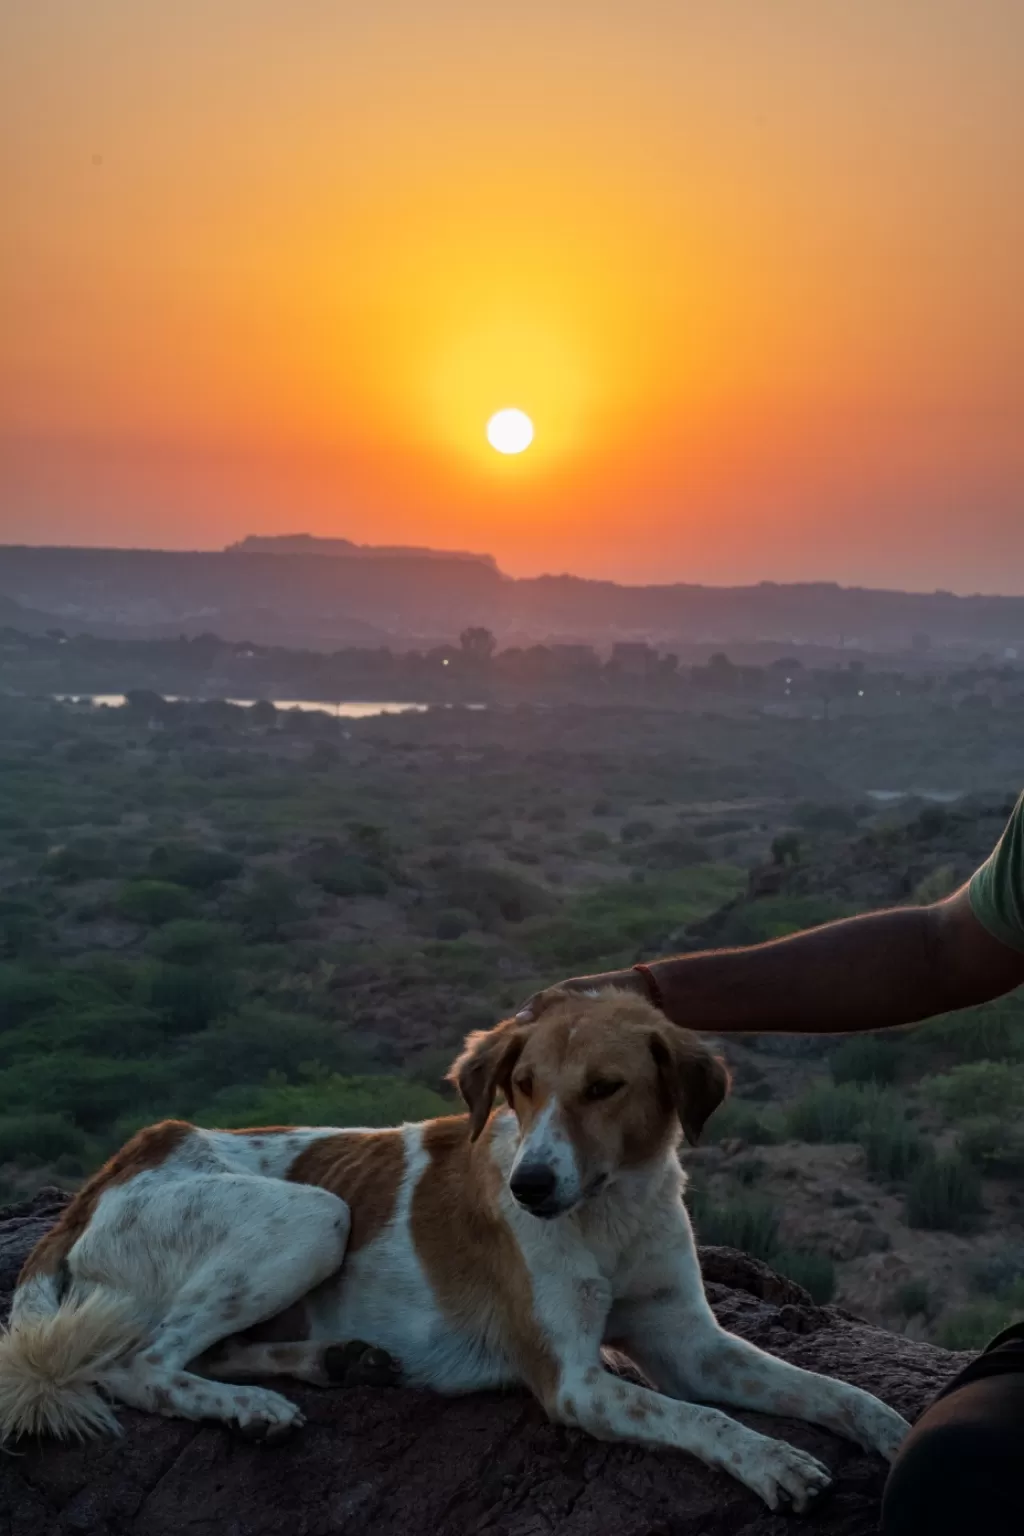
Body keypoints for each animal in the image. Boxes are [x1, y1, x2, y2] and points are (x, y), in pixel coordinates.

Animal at [0, 989, 908, 1505]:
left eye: (605, 1088)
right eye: (523, 1087)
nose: (530, 1188)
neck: (612, 1210)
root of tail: (126, 1157)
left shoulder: (690, 1342)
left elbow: (828, 1390)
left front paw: (893, 1433)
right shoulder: (577, 1384)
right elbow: (700, 1417)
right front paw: (771, 1460)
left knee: (206, 1349)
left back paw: (335, 1362)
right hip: (316, 1216)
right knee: (139, 1365)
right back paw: (250, 1409)